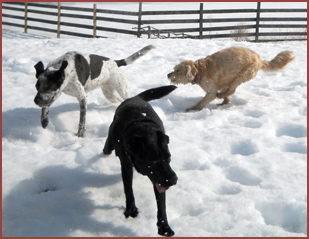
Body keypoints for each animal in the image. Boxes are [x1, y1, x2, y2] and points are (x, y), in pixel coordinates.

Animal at [103, 85, 177, 236]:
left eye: (169, 158)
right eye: (154, 162)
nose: (174, 180)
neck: (142, 127)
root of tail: (134, 98)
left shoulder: (159, 178)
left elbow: (161, 203)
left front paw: (164, 227)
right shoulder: (126, 165)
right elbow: (128, 189)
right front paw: (131, 210)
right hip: (112, 141)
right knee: (108, 145)